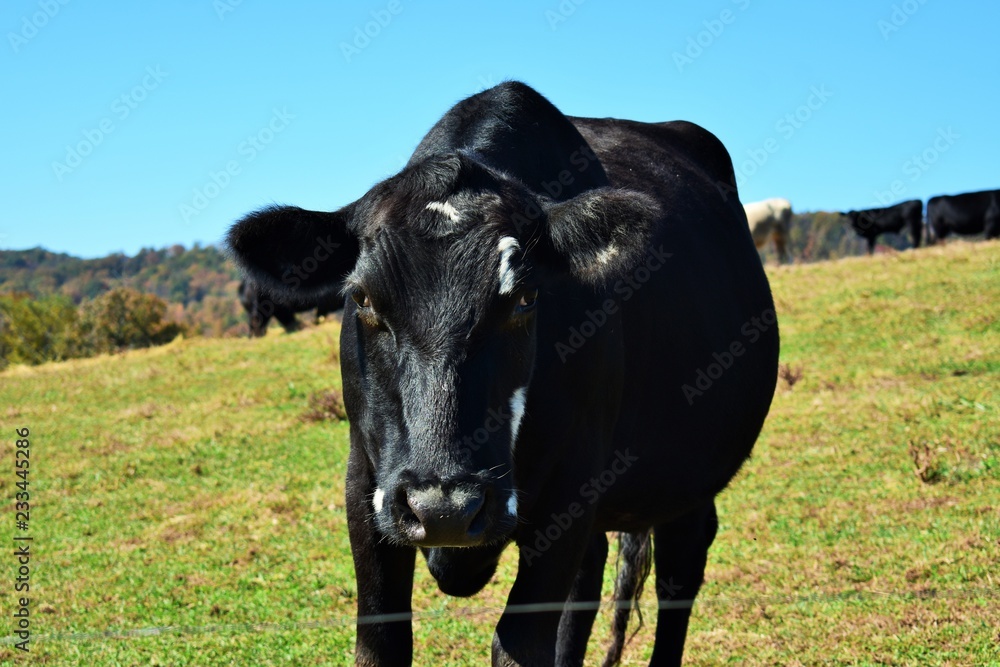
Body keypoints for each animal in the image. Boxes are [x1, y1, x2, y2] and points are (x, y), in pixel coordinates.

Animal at [226, 81, 779, 666]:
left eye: (526, 297)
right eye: (363, 299)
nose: (443, 508)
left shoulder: (573, 483)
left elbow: (519, 644)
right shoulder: (364, 481)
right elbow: (381, 641)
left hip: (689, 477)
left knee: (680, 568)